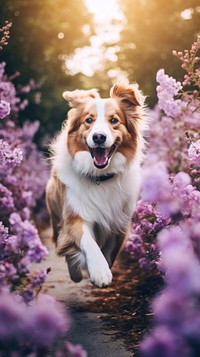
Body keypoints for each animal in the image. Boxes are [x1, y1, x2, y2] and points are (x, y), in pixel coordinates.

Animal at [46, 81, 146, 286]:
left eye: (114, 120)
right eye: (89, 120)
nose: (99, 137)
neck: (101, 177)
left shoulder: (120, 222)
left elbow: (110, 253)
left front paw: (104, 267)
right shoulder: (75, 216)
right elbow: (88, 242)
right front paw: (99, 271)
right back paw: (76, 274)